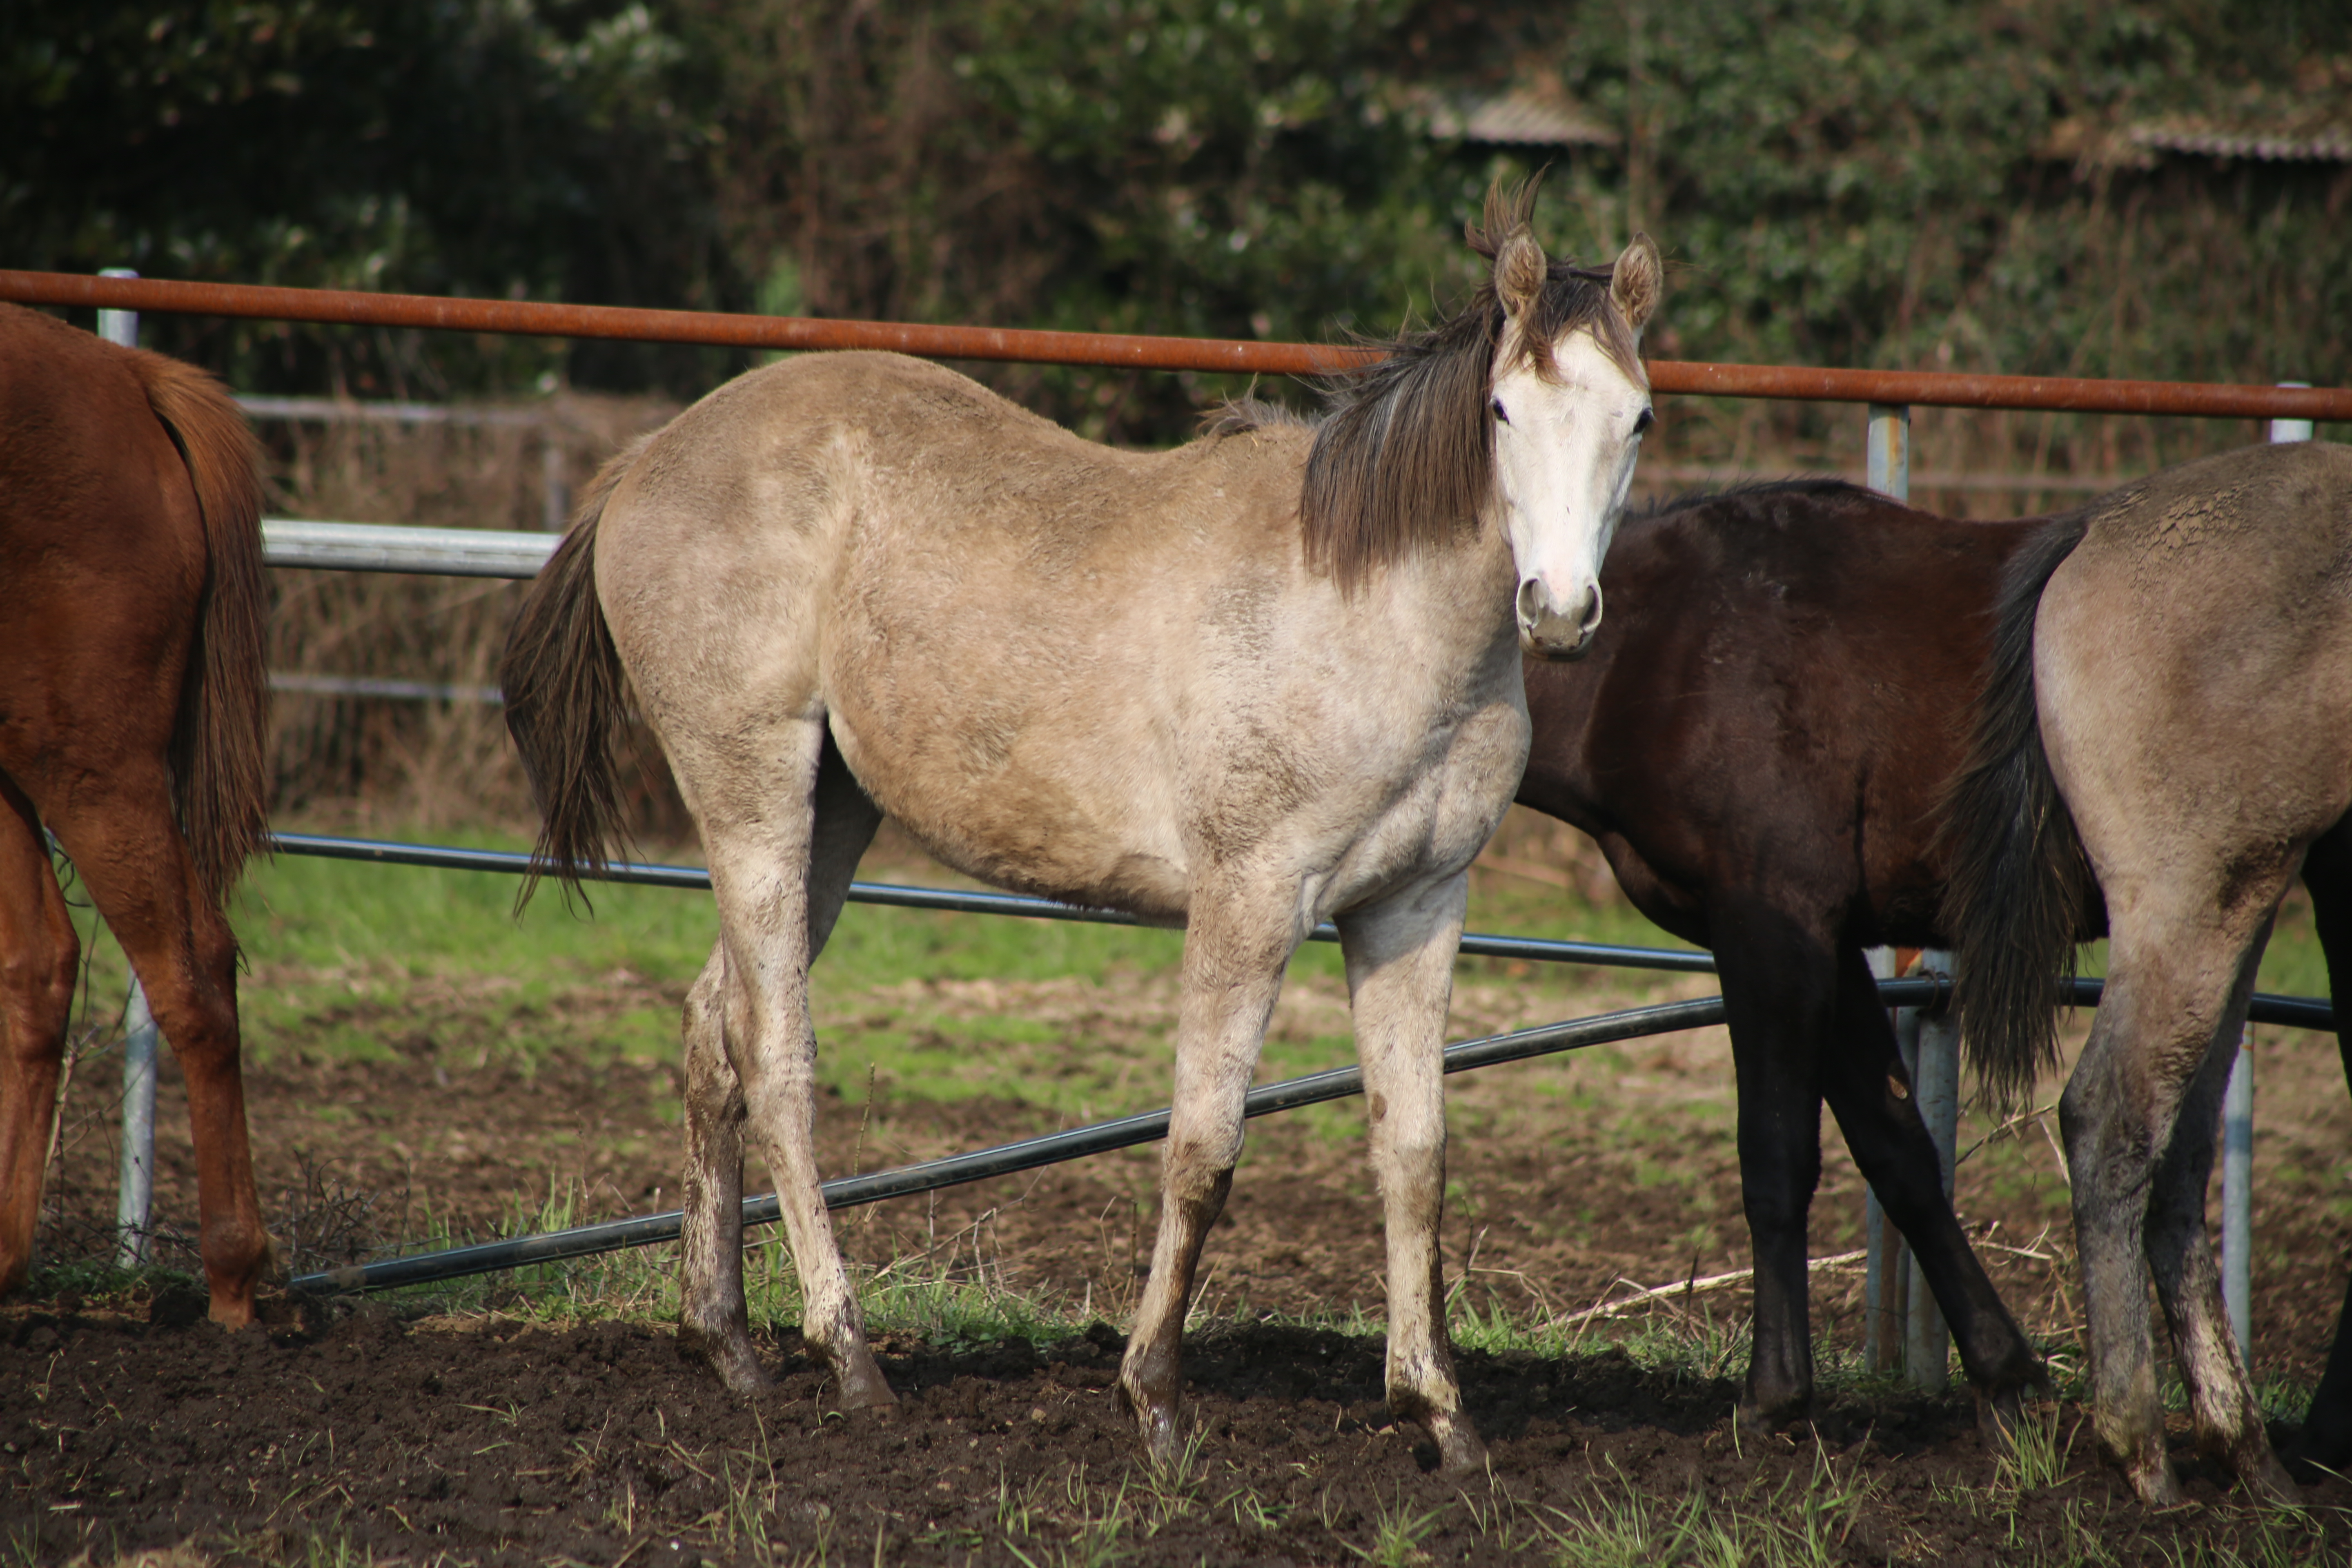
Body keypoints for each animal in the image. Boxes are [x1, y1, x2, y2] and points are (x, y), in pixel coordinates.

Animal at [1515, 479, 2051, 1439]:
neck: (1655, 651)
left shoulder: (1772, 925)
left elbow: (1775, 1156)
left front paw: (1775, 1395)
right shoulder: (1831, 946)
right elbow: (1899, 1152)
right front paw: (2006, 1371)